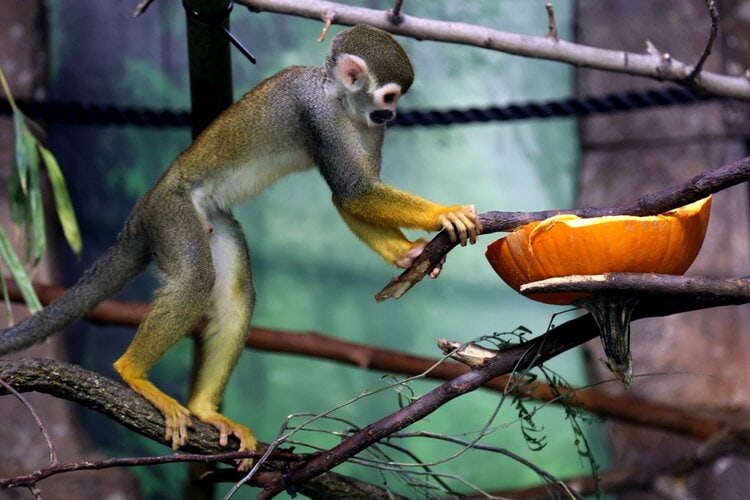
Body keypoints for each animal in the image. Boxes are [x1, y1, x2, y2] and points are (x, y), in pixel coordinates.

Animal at [0, 25, 480, 469]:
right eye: (390, 95)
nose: (392, 114)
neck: (338, 99)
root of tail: (139, 216)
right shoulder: (319, 116)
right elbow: (354, 190)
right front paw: (445, 213)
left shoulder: (365, 126)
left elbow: (349, 196)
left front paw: (407, 255)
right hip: (172, 215)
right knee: (195, 279)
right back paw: (132, 373)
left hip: (212, 220)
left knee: (234, 295)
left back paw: (203, 408)